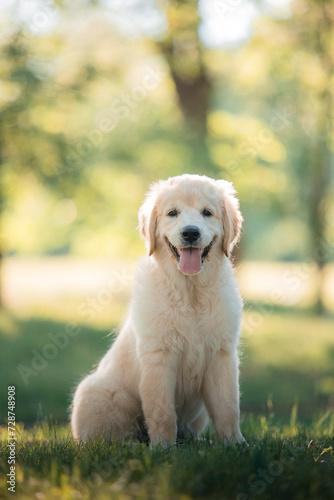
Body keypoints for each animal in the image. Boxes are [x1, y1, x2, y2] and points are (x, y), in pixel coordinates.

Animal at [71, 175, 245, 446]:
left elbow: (228, 407)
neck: (190, 294)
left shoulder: (222, 354)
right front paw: (163, 448)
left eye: (207, 213)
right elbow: (162, 410)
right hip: (94, 393)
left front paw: (235, 444)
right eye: (172, 213)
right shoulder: (158, 357)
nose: (190, 233)